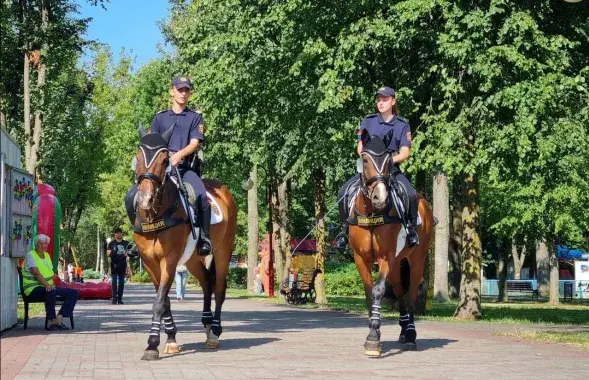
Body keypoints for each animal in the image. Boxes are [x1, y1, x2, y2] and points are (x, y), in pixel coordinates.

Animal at [132, 126, 235, 360]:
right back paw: (206, 323)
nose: (145, 199)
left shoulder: (169, 260)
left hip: (223, 251)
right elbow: (164, 300)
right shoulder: (149, 262)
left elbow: (160, 301)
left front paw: (152, 344)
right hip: (192, 259)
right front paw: (170, 339)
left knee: (218, 287)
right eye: (138, 157)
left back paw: (214, 331)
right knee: (206, 282)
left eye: (164, 159)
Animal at [346, 134, 434, 356]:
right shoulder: (361, 258)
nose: (381, 197)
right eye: (365, 160)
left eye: (388, 160)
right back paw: (403, 330)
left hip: (416, 259)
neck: (372, 214)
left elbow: (378, 290)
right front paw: (373, 332)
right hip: (397, 264)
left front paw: (373, 338)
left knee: (411, 294)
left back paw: (410, 335)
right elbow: (369, 294)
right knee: (401, 292)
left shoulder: (387, 256)